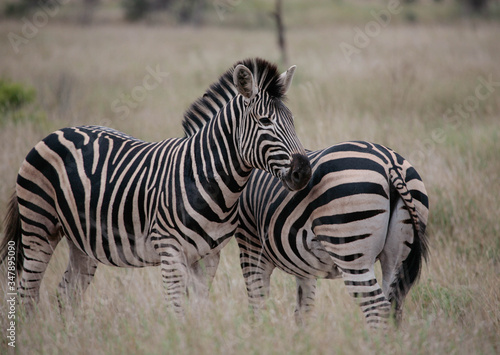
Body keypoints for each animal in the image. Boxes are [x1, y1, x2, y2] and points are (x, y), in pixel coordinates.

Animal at [0, 57, 312, 318]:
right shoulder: (170, 252)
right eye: (265, 121)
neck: (208, 180)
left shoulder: (209, 256)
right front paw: (179, 339)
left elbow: (198, 310)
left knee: (67, 293)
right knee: (28, 291)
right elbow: (176, 311)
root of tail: (55, 132)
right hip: (40, 226)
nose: (304, 172)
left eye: (293, 121)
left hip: (81, 241)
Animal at [235, 140, 430, 330]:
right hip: (398, 255)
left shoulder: (251, 245)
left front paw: (261, 333)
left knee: (377, 307)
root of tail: (390, 164)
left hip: (351, 252)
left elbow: (258, 305)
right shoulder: (305, 264)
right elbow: (303, 311)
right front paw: (303, 339)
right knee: (393, 304)